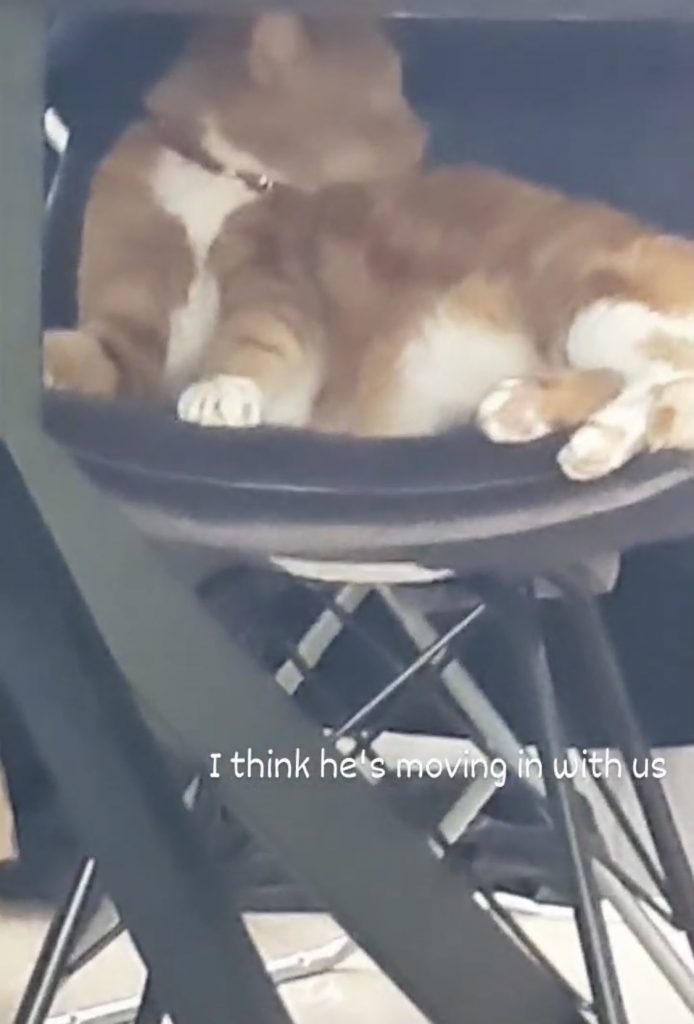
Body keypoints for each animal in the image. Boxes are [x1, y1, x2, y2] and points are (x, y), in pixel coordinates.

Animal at [44, 21, 694, 482]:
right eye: (381, 99)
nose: (426, 139)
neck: (218, 178)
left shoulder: (280, 293)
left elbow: (254, 338)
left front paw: (221, 387)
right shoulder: (129, 328)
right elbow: (89, 354)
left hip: (589, 300)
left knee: (666, 375)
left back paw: (572, 425)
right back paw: (551, 422)